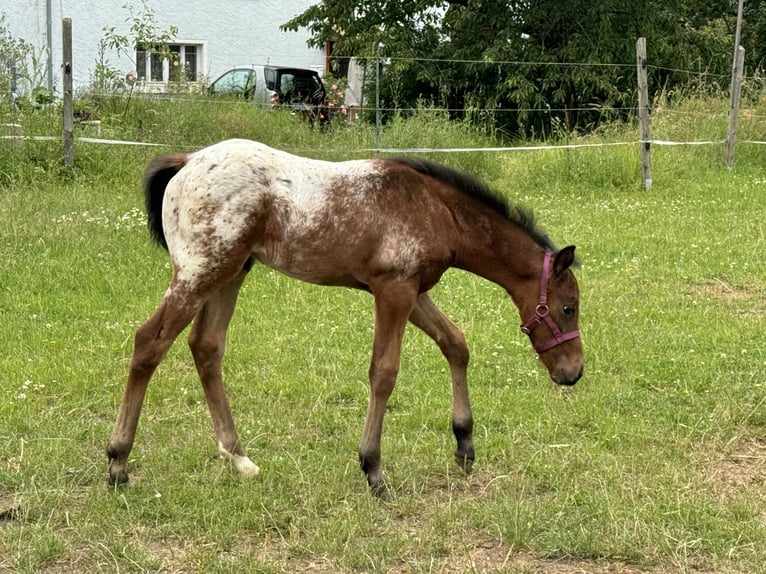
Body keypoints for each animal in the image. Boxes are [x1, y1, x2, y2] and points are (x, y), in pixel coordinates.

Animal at [108, 137, 584, 498]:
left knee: (206, 346)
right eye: (568, 307)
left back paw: (238, 457)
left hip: (231, 273)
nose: (573, 372)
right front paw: (373, 469)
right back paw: (117, 462)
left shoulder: (412, 291)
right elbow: (384, 372)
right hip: (200, 273)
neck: (438, 210)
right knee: (149, 342)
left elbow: (456, 343)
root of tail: (187, 162)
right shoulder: (394, 291)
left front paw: (464, 444)